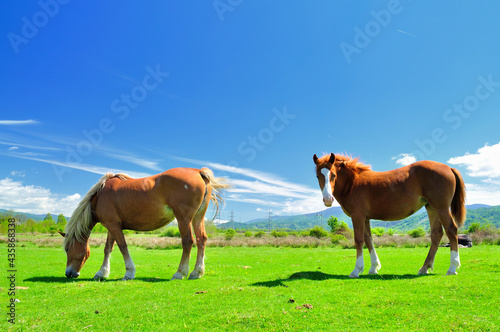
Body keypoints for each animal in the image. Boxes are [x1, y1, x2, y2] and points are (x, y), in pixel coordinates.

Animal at [60, 169, 229, 280]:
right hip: (197, 218)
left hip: (184, 218)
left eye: (67, 249)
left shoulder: (114, 226)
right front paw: (102, 272)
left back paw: (180, 273)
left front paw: (129, 272)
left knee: (188, 241)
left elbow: (122, 247)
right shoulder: (111, 226)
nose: (69, 273)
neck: (100, 195)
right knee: (201, 240)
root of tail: (198, 171)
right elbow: (108, 249)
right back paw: (196, 272)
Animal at [312, 153, 464, 278]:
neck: (353, 183)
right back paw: (424, 268)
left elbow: (359, 240)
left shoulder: (358, 216)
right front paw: (374, 268)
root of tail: (449, 167)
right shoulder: (365, 218)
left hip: (441, 208)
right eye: (318, 176)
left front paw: (356, 270)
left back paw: (452, 268)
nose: (327, 199)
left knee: (451, 230)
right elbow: (369, 240)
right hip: (431, 207)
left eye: (333, 175)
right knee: (436, 234)